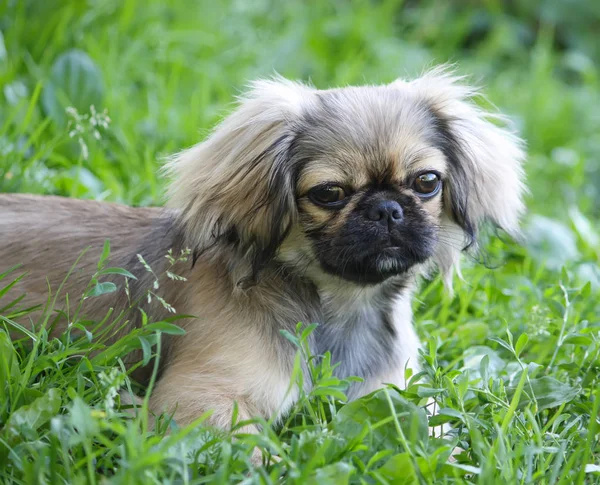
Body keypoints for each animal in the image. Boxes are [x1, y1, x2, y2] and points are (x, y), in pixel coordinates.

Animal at [0, 67, 524, 434]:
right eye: (329, 193)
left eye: (426, 182)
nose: (387, 209)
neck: (341, 308)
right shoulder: (202, 403)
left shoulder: (395, 395)